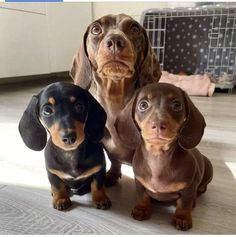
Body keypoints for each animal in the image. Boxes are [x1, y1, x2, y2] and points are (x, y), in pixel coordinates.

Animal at [18, 82, 110, 211]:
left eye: (79, 106)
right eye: (47, 110)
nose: (69, 137)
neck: (71, 154)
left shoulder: (99, 169)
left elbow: (97, 185)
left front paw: (100, 199)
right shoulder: (52, 173)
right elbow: (57, 186)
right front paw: (61, 199)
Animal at [70, 13, 162, 186]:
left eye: (135, 28)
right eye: (95, 29)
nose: (114, 41)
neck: (115, 100)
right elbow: (114, 160)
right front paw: (112, 174)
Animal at [116, 83, 214, 230]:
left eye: (177, 105)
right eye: (143, 105)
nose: (158, 124)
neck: (158, 157)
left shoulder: (189, 188)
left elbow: (184, 203)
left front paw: (182, 217)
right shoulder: (139, 182)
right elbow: (142, 197)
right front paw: (141, 209)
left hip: (209, 168)